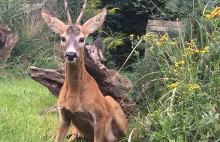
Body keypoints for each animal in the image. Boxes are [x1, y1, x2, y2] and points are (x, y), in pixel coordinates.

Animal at [41, 0, 129, 141]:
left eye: (82, 39)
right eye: (63, 38)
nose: (71, 54)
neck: (74, 100)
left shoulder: (100, 116)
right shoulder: (64, 116)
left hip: (119, 115)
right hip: (75, 130)